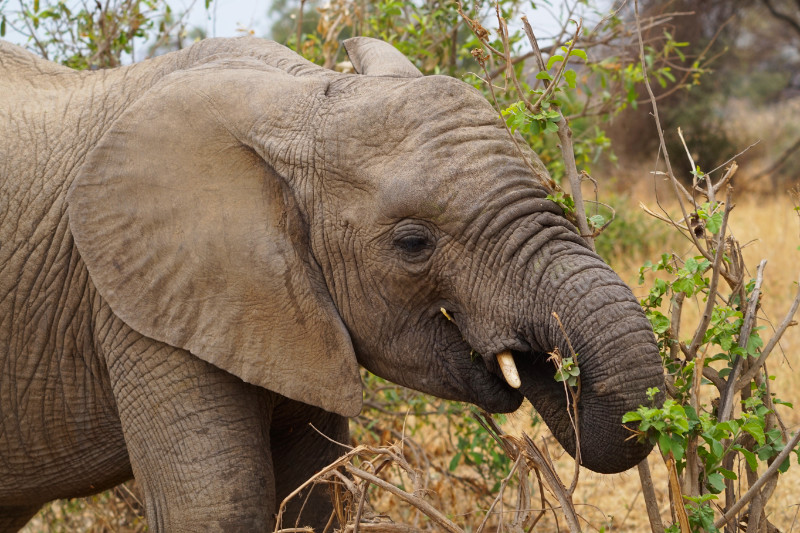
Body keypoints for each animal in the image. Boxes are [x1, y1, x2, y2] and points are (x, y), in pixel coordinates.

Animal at [0, 35, 664, 531]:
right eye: (413, 243)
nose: (549, 367)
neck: (296, 97)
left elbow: (318, 497)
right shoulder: (137, 301)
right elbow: (217, 510)